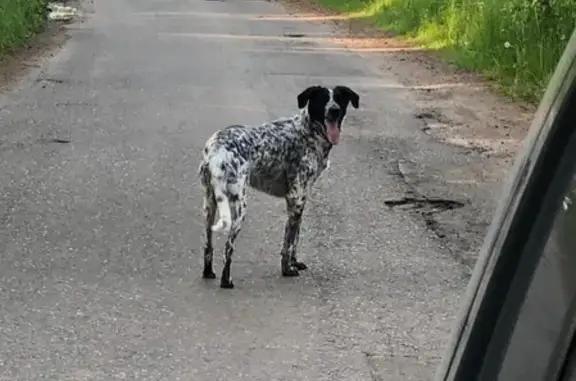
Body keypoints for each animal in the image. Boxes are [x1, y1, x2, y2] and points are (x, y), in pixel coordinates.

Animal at [200, 85, 358, 288]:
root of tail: (216, 150)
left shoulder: (299, 201)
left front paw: (294, 263)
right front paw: (288, 269)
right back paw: (226, 281)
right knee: (229, 246)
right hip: (238, 207)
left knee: (208, 244)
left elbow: (293, 238)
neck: (307, 131)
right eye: (323, 99)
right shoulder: (296, 198)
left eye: (339, 99)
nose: (334, 111)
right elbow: (289, 243)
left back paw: (208, 272)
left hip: (209, 206)